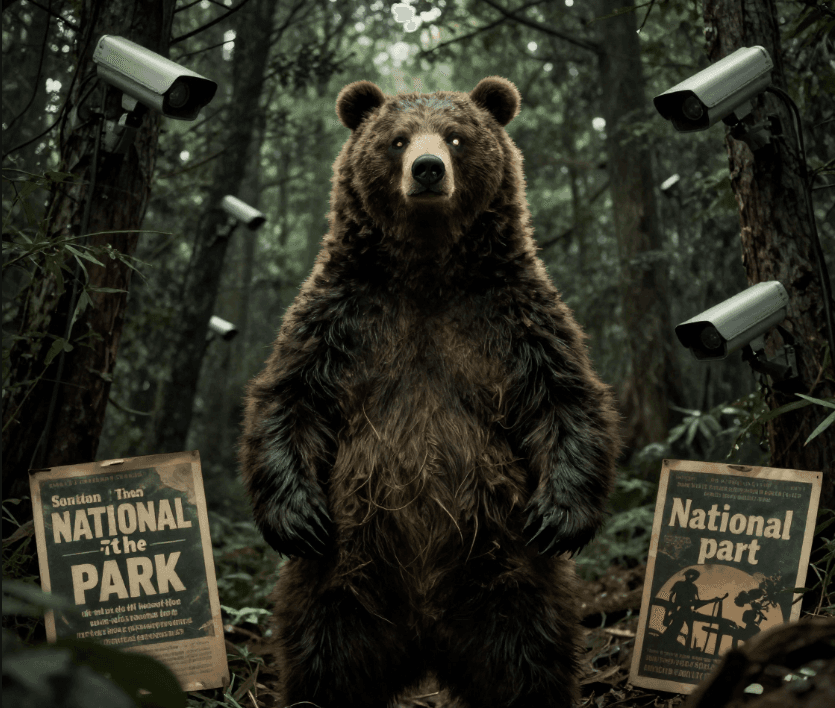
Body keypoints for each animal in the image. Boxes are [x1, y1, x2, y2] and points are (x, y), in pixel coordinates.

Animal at [239, 76, 621, 708]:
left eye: (457, 136)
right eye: (396, 139)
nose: (426, 169)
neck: (426, 269)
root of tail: (424, 640)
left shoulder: (510, 316)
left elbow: (563, 395)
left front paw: (558, 516)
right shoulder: (343, 317)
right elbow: (290, 396)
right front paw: (297, 517)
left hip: (503, 564)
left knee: (530, 652)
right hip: (344, 573)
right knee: (323, 654)